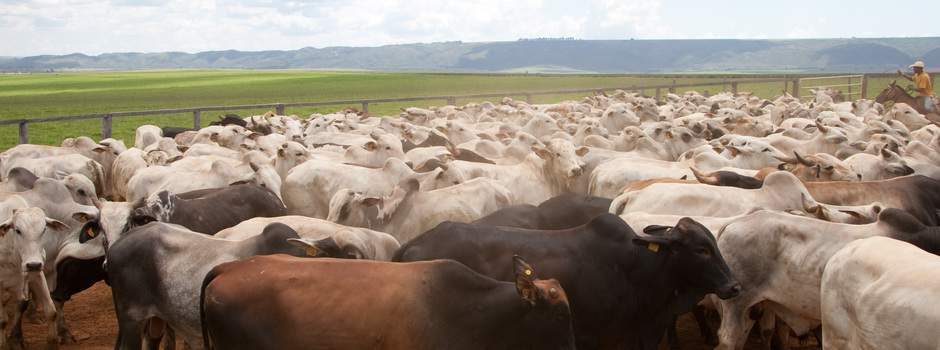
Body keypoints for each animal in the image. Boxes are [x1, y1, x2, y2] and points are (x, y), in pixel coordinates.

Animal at [392, 213, 740, 350]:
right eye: (701, 249)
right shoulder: (590, 337)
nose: (734, 286)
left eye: (714, 242)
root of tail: (410, 244)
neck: (634, 269)